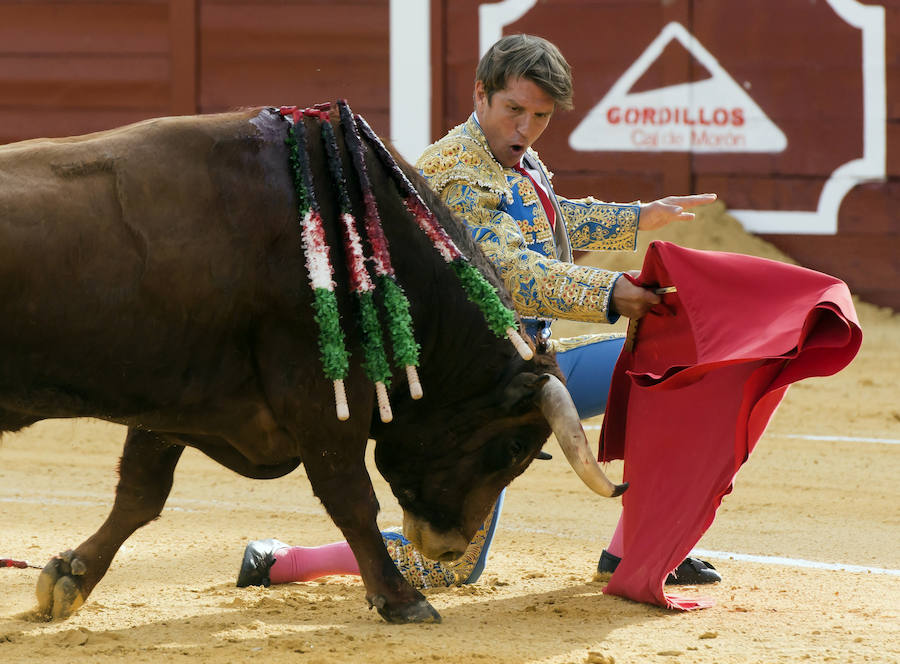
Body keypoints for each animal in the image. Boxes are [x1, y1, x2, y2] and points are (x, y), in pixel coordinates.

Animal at [0, 104, 620, 624]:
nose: (448, 548)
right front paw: (401, 599)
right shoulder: (322, 398)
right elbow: (351, 495)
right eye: (514, 448)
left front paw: (71, 576)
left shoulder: (171, 399)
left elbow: (140, 493)